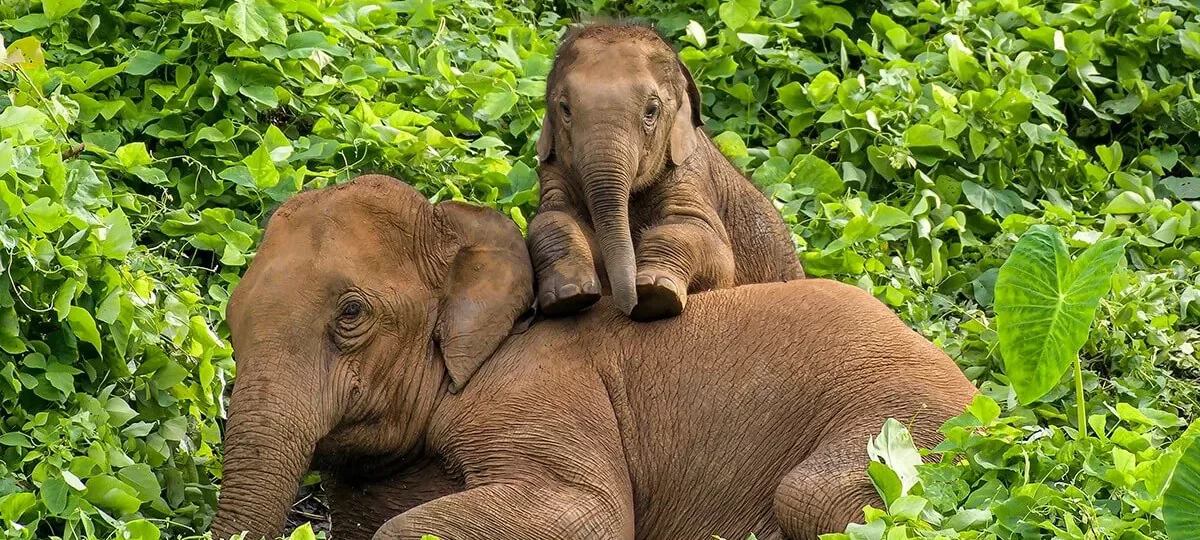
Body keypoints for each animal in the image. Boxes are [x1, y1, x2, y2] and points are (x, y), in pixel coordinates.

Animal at [208, 175, 974, 540]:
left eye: (351, 315)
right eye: (229, 322)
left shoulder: (542, 392)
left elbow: (589, 514)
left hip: (909, 427)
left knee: (810, 494)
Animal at [532, 22, 806, 321]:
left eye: (651, 111)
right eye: (565, 109)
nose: (630, 305)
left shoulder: (692, 174)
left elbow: (710, 243)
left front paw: (656, 292)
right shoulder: (554, 167)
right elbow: (551, 217)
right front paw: (570, 295)